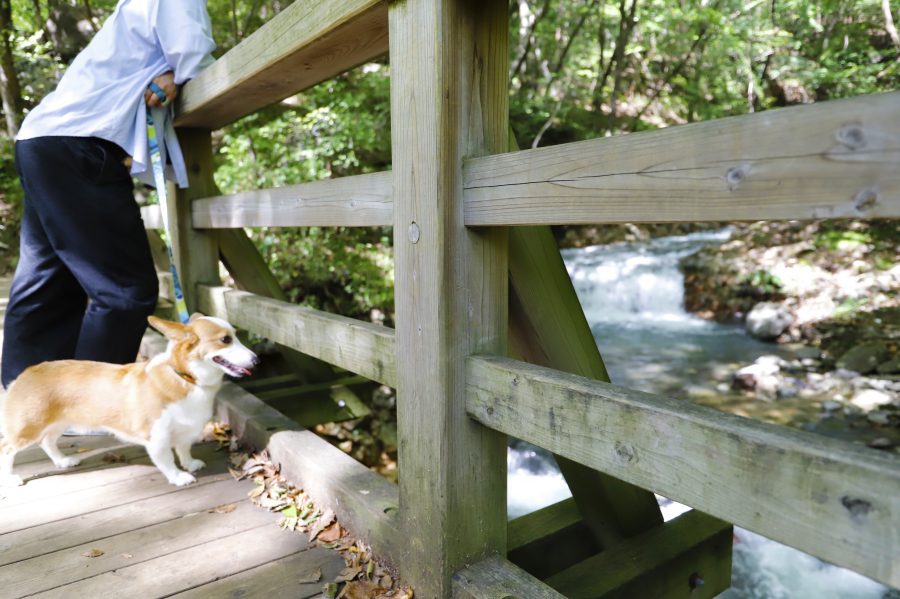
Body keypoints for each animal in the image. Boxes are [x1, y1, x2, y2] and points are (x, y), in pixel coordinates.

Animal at [0, 314, 260, 488]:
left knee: (47, 442)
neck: (186, 378)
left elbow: (184, 449)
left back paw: (63, 461)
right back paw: (11, 478)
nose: (257, 360)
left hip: (58, 423)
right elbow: (167, 460)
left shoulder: (186, 431)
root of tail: (24, 373)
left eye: (235, 336)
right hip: (29, 427)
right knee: (7, 448)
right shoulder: (157, 438)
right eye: (225, 339)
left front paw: (189, 464)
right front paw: (178, 477)